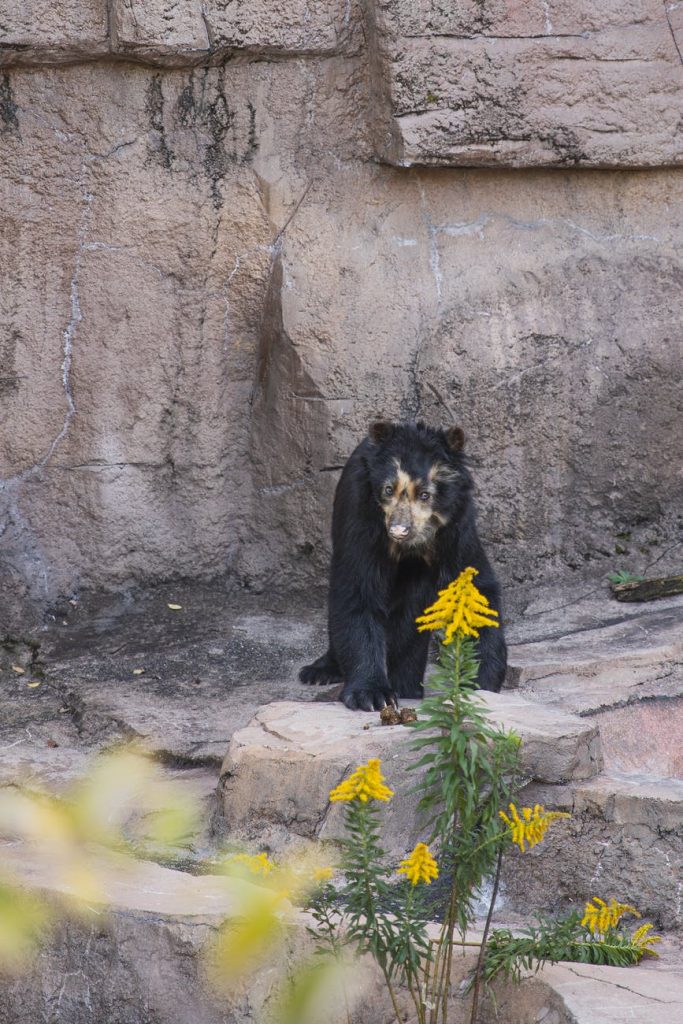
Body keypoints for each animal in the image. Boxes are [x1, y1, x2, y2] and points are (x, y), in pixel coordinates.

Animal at [299, 420, 507, 711]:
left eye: (425, 495)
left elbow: (476, 589)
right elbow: (357, 591)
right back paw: (319, 672)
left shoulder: (457, 528)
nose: (398, 529)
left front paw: (480, 680)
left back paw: (408, 686)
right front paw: (373, 695)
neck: (413, 545)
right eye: (388, 489)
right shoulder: (362, 517)